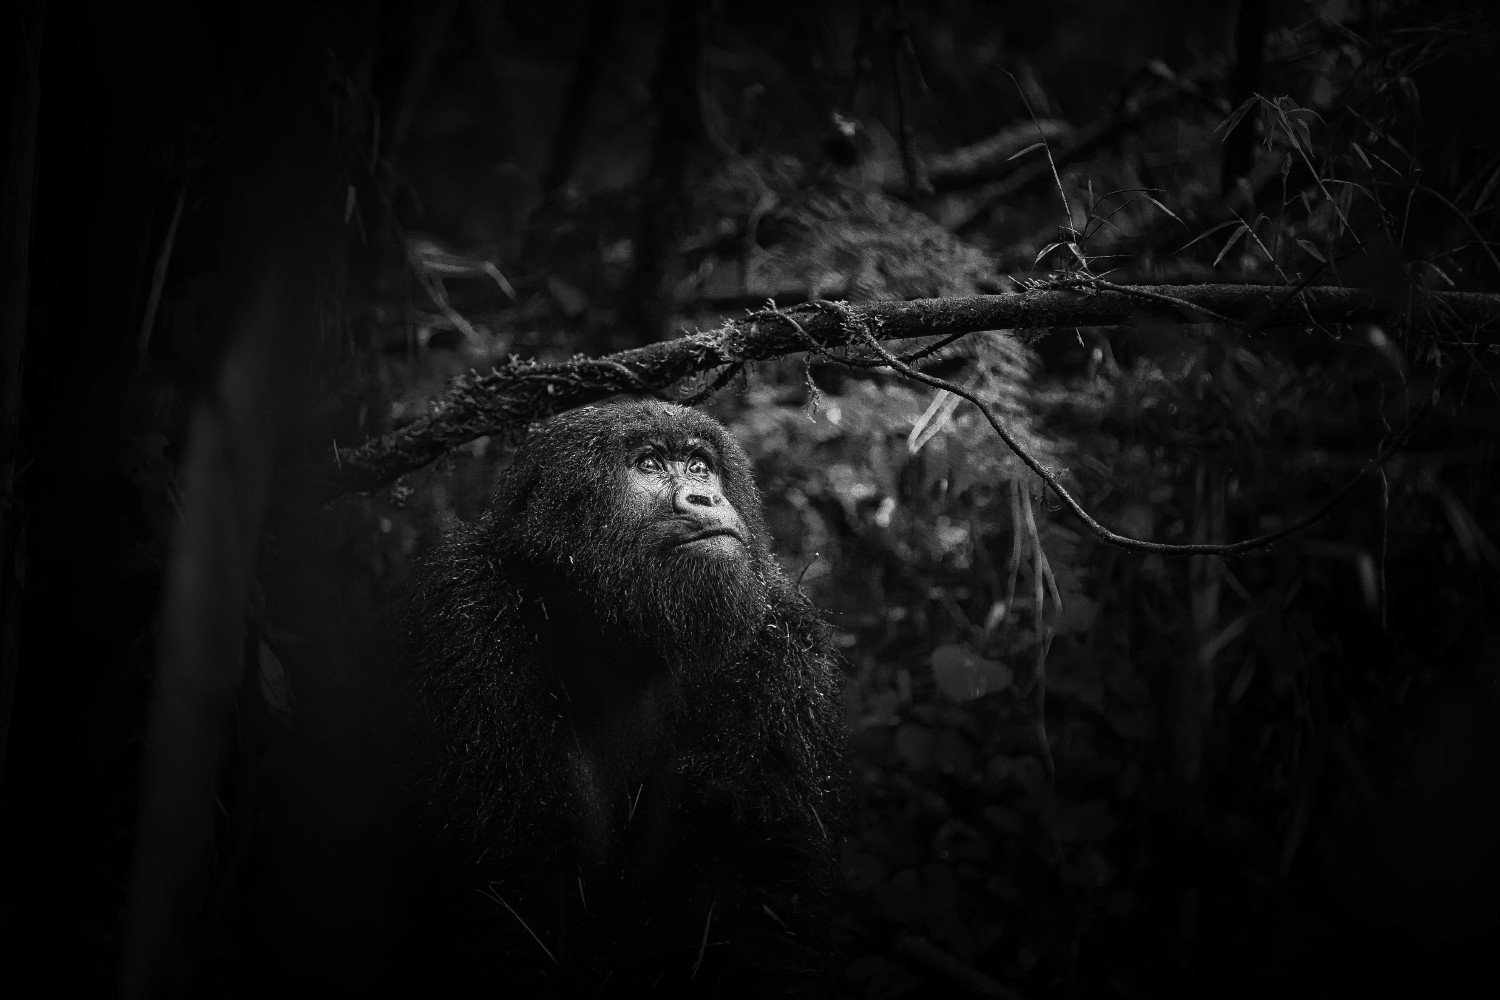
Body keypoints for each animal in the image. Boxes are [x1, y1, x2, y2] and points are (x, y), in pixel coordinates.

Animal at [387, 399, 849, 997]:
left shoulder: (783, 642)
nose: (705, 498)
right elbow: (497, 891)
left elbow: (765, 900)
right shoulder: (460, 616)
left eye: (700, 467)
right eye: (648, 464)